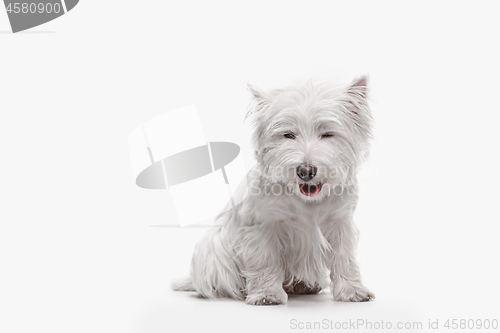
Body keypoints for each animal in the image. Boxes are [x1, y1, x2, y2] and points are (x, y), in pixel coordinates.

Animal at [174, 75, 374, 304]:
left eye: (327, 134)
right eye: (288, 135)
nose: (306, 171)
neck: (308, 202)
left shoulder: (340, 222)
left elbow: (345, 258)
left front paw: (353, 291)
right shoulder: (262, 226)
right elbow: (265, 260)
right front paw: (266, 294)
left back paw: (302, 285)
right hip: (212, 250)